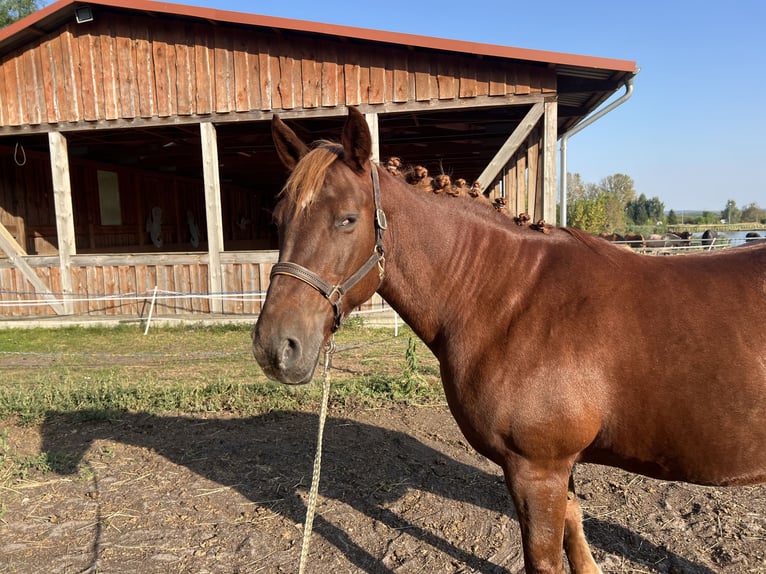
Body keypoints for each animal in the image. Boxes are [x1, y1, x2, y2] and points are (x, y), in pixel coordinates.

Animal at [254, 109, 766, 574]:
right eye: (277, 219)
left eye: (347, 219)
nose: (275, 347)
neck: (510, 297)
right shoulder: (559, 468)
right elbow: (576, 535)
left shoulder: (536, 470)